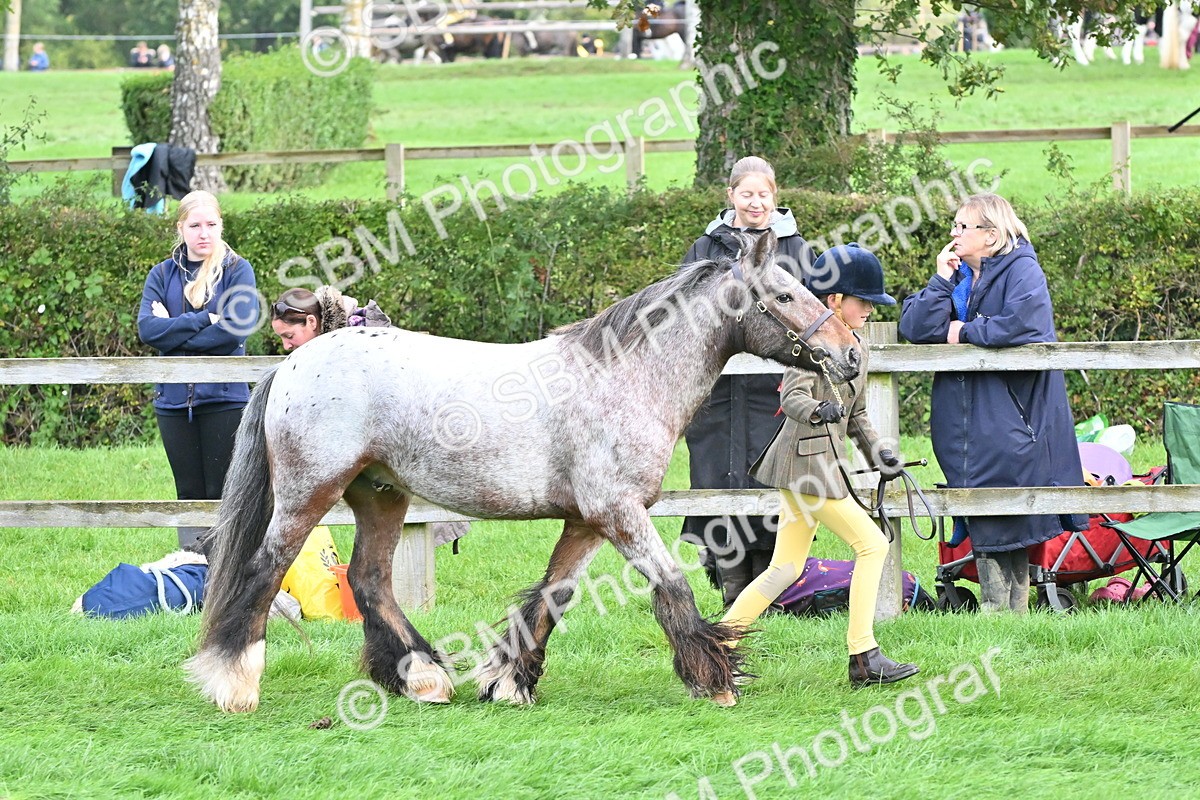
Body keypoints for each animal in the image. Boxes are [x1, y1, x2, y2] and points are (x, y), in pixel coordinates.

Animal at [185, 231, 861, 713]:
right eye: (786, 296)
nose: (851, 356)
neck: (623, 376)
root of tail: (292, 364)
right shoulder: (619, 513)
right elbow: (671, 584)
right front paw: (714, 678)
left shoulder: (587, 522)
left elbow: (550, 597)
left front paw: (508, 683)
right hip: (307, 495)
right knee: (266, 571)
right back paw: (236, 686)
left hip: (378, 495)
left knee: (369, 579)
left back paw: (424, 678)